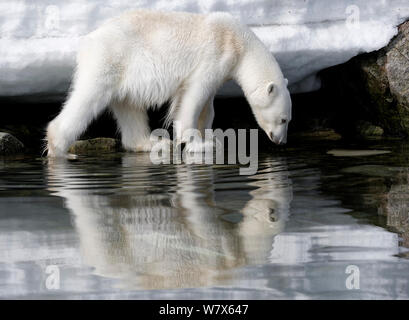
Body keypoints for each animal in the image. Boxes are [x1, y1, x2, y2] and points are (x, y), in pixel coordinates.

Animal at [46, 10, 292, 158]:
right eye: (283, 119)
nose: (281, 141)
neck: (239, 42)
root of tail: (88, 41)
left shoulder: (221, 69)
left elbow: (207, 107)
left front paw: (212, 139)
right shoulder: (214, 56)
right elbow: (194, 97)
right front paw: (197, 144)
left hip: (124, 76)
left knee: (129, 107)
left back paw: (152, 143)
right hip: (110, 60)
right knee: (88, 98)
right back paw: (61, 150)